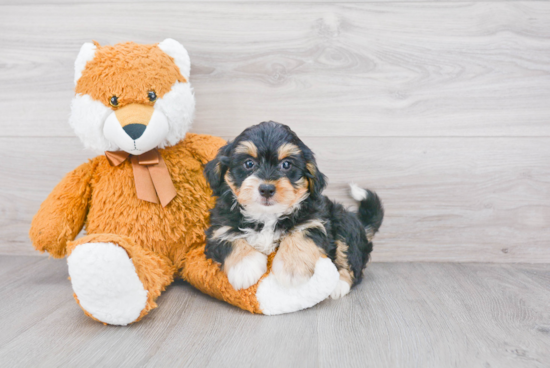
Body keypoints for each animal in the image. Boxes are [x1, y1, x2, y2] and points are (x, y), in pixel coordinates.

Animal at [205, 121, 386, 300]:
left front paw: (292, 269)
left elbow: (301, 234)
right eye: (249, 163)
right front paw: (245, 268)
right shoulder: (219, 224)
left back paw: (339, 285)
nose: (266, 189)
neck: (267, 216)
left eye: (286, 165)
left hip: (343, 221)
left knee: (351, 259)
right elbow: (228, 237)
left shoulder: (315, 220)